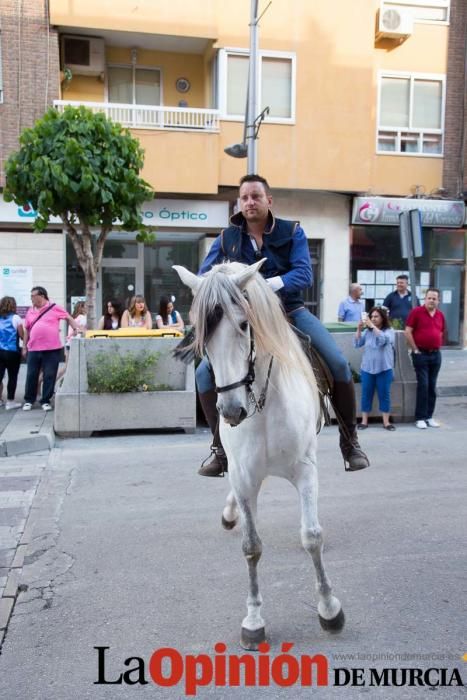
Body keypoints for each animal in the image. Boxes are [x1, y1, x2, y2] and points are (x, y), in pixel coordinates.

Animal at [174, 260, 346, 648]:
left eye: (243, 324)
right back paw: (229, 511)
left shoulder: (305, 469)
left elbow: (312, 536)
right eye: (203, 333)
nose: (231, 411)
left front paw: (329, 609)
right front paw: (253, 620)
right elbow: (251, 546)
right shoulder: (243, 476)